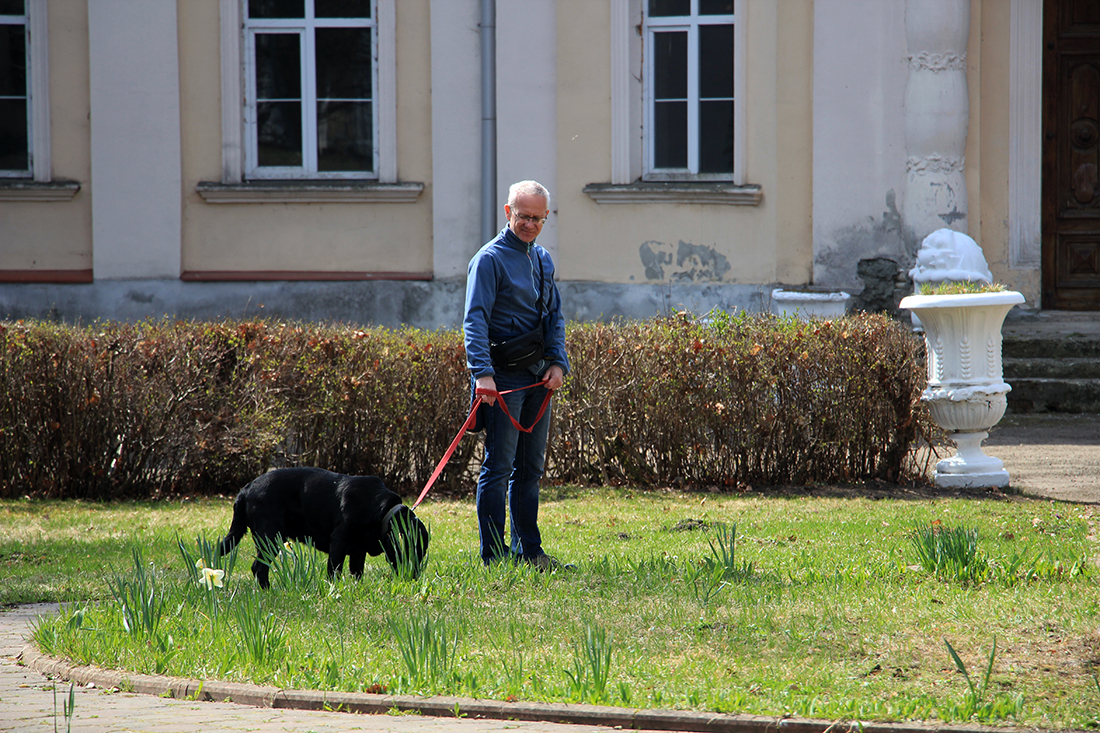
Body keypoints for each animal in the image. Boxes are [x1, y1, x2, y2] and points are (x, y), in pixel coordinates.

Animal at [217, 467, 429, 588]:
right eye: (415, 550)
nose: (416, 577)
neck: (378, 510)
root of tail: (246, 489)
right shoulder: (338, 543)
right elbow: (334, 572)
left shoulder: (358, 551)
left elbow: (357, 573)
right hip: (269, 538)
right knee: (258, 567)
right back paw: (268, 589)